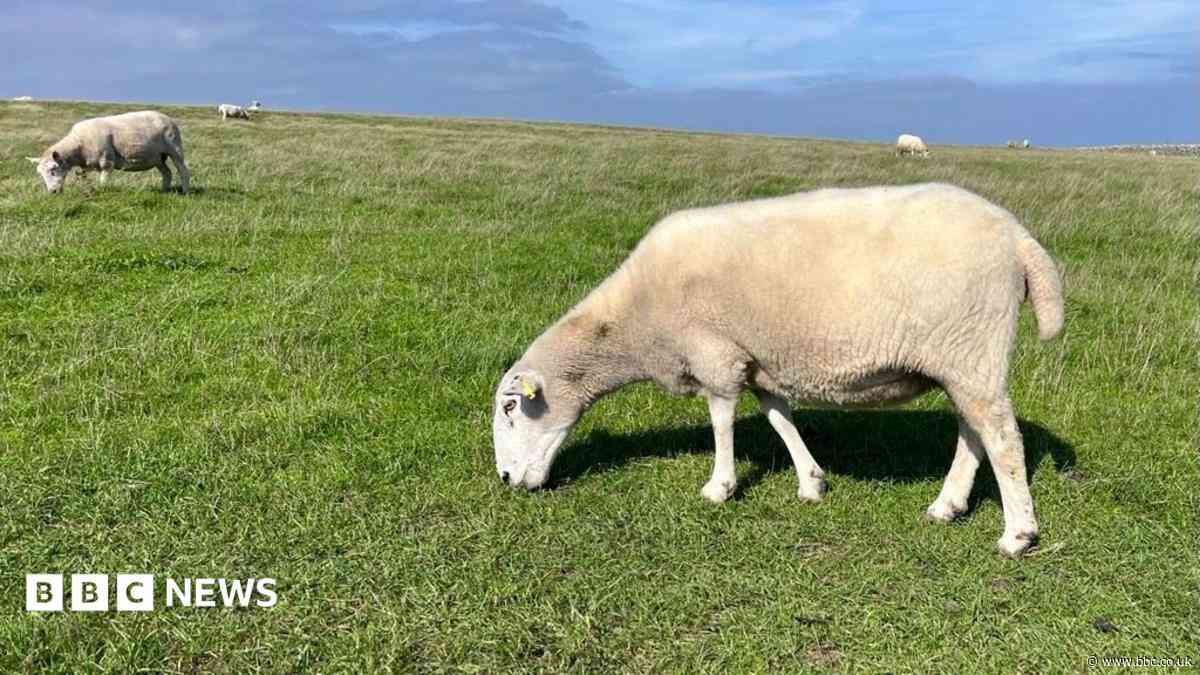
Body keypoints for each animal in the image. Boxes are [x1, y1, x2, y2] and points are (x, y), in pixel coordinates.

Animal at [26, 110, 189, 194]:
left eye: (53, 169)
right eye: (40, 174)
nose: (52, 192)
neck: (79, 144)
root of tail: (166, 116)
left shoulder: (107, 162)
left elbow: (103, 182)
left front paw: (103, 193)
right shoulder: (87, 166)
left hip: (175, 147)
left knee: (183, 170)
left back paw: (185, 192)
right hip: (157, 157)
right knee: (167, 172)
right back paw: (164, 191)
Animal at [492, 182, 1064, 558]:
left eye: (511, 407)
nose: (504, 479)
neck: (636, 320)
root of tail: (1019, 238)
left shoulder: (716, 354)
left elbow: (721, 421)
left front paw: (719, 487)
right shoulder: (760, 362)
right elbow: (779, 420)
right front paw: (810, 482)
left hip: (971, 346)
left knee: (1002, 437)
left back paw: (1017, 534)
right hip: (961, 357)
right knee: (974, 430)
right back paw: (948, 505)